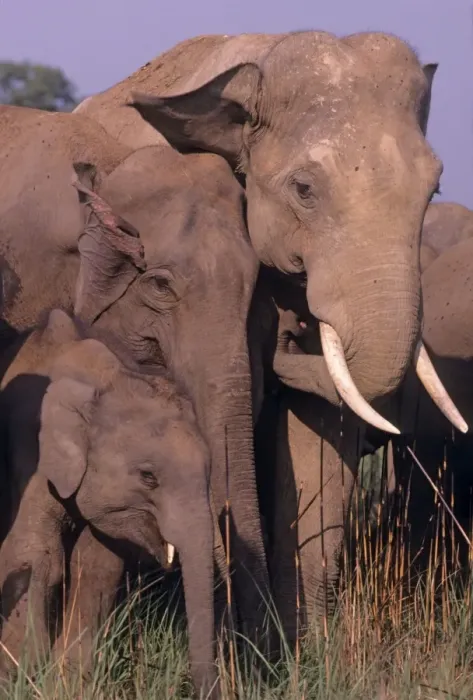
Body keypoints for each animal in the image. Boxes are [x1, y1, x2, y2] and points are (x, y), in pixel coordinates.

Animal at [0, 308, 217, 699]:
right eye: (148, 477)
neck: (106, 378)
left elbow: (97, 565)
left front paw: (70, 685)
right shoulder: (32, 450)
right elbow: (35, 553)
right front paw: (20, 677)